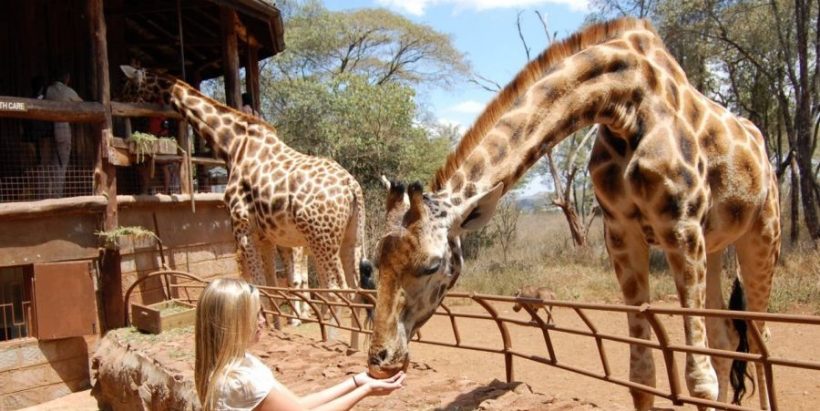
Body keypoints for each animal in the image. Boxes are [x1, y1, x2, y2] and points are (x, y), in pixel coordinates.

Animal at [366, 17, 780, 410]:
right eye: (375, 262)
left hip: (761, 235)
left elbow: (699, 378)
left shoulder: (681, 227)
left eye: (432, 265)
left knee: (761, 339)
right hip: (716, 245)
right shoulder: (622, 235)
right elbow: (642, 374)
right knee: (725, 337)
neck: (626, 104)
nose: (380, 359)